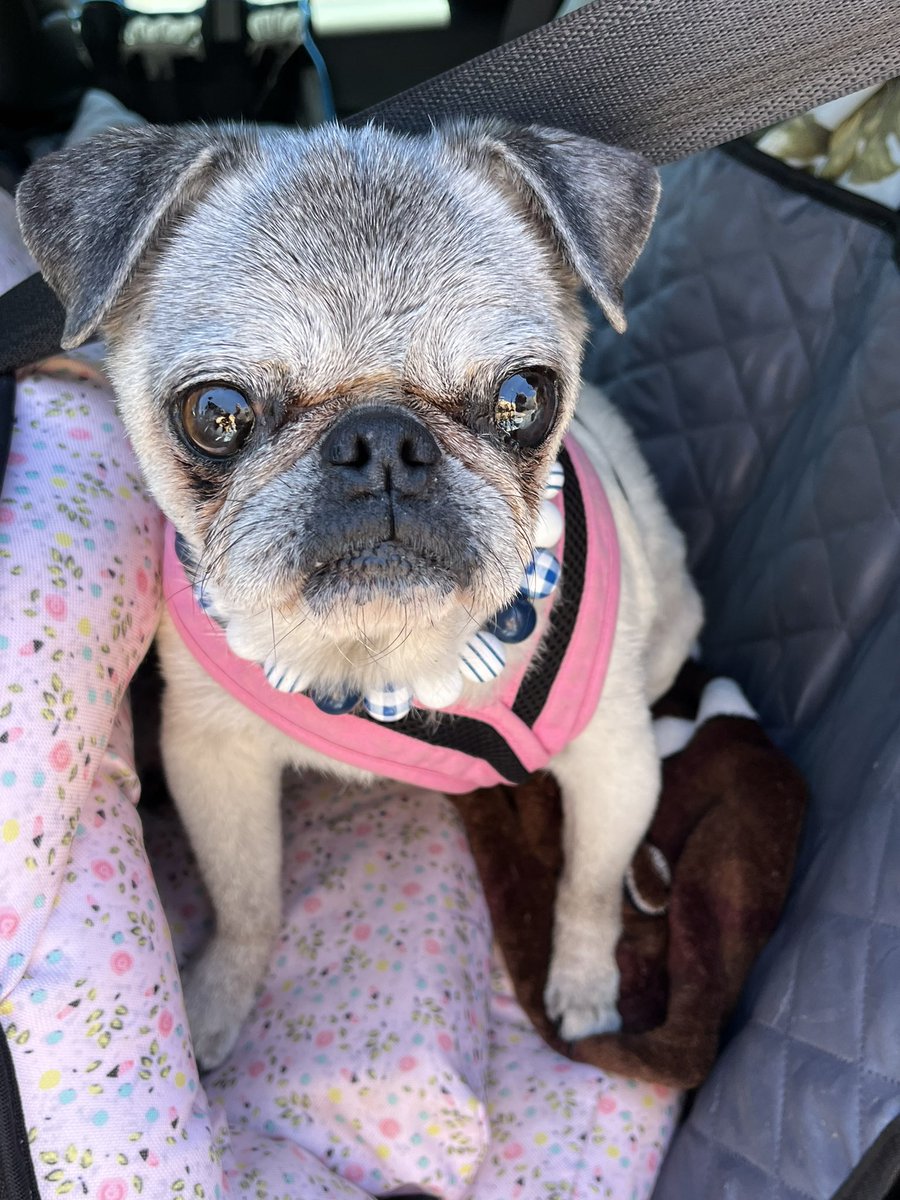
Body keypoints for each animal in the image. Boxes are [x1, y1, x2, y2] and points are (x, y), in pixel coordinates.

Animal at [15, 121, 705, 1070]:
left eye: (522, 397)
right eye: (216, 413)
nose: (383, 442)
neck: (383, 649)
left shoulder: (614, 765)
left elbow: (590, 889)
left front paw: (584, 987)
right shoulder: (214, 761)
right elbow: (246, 900)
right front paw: (218, 1000)